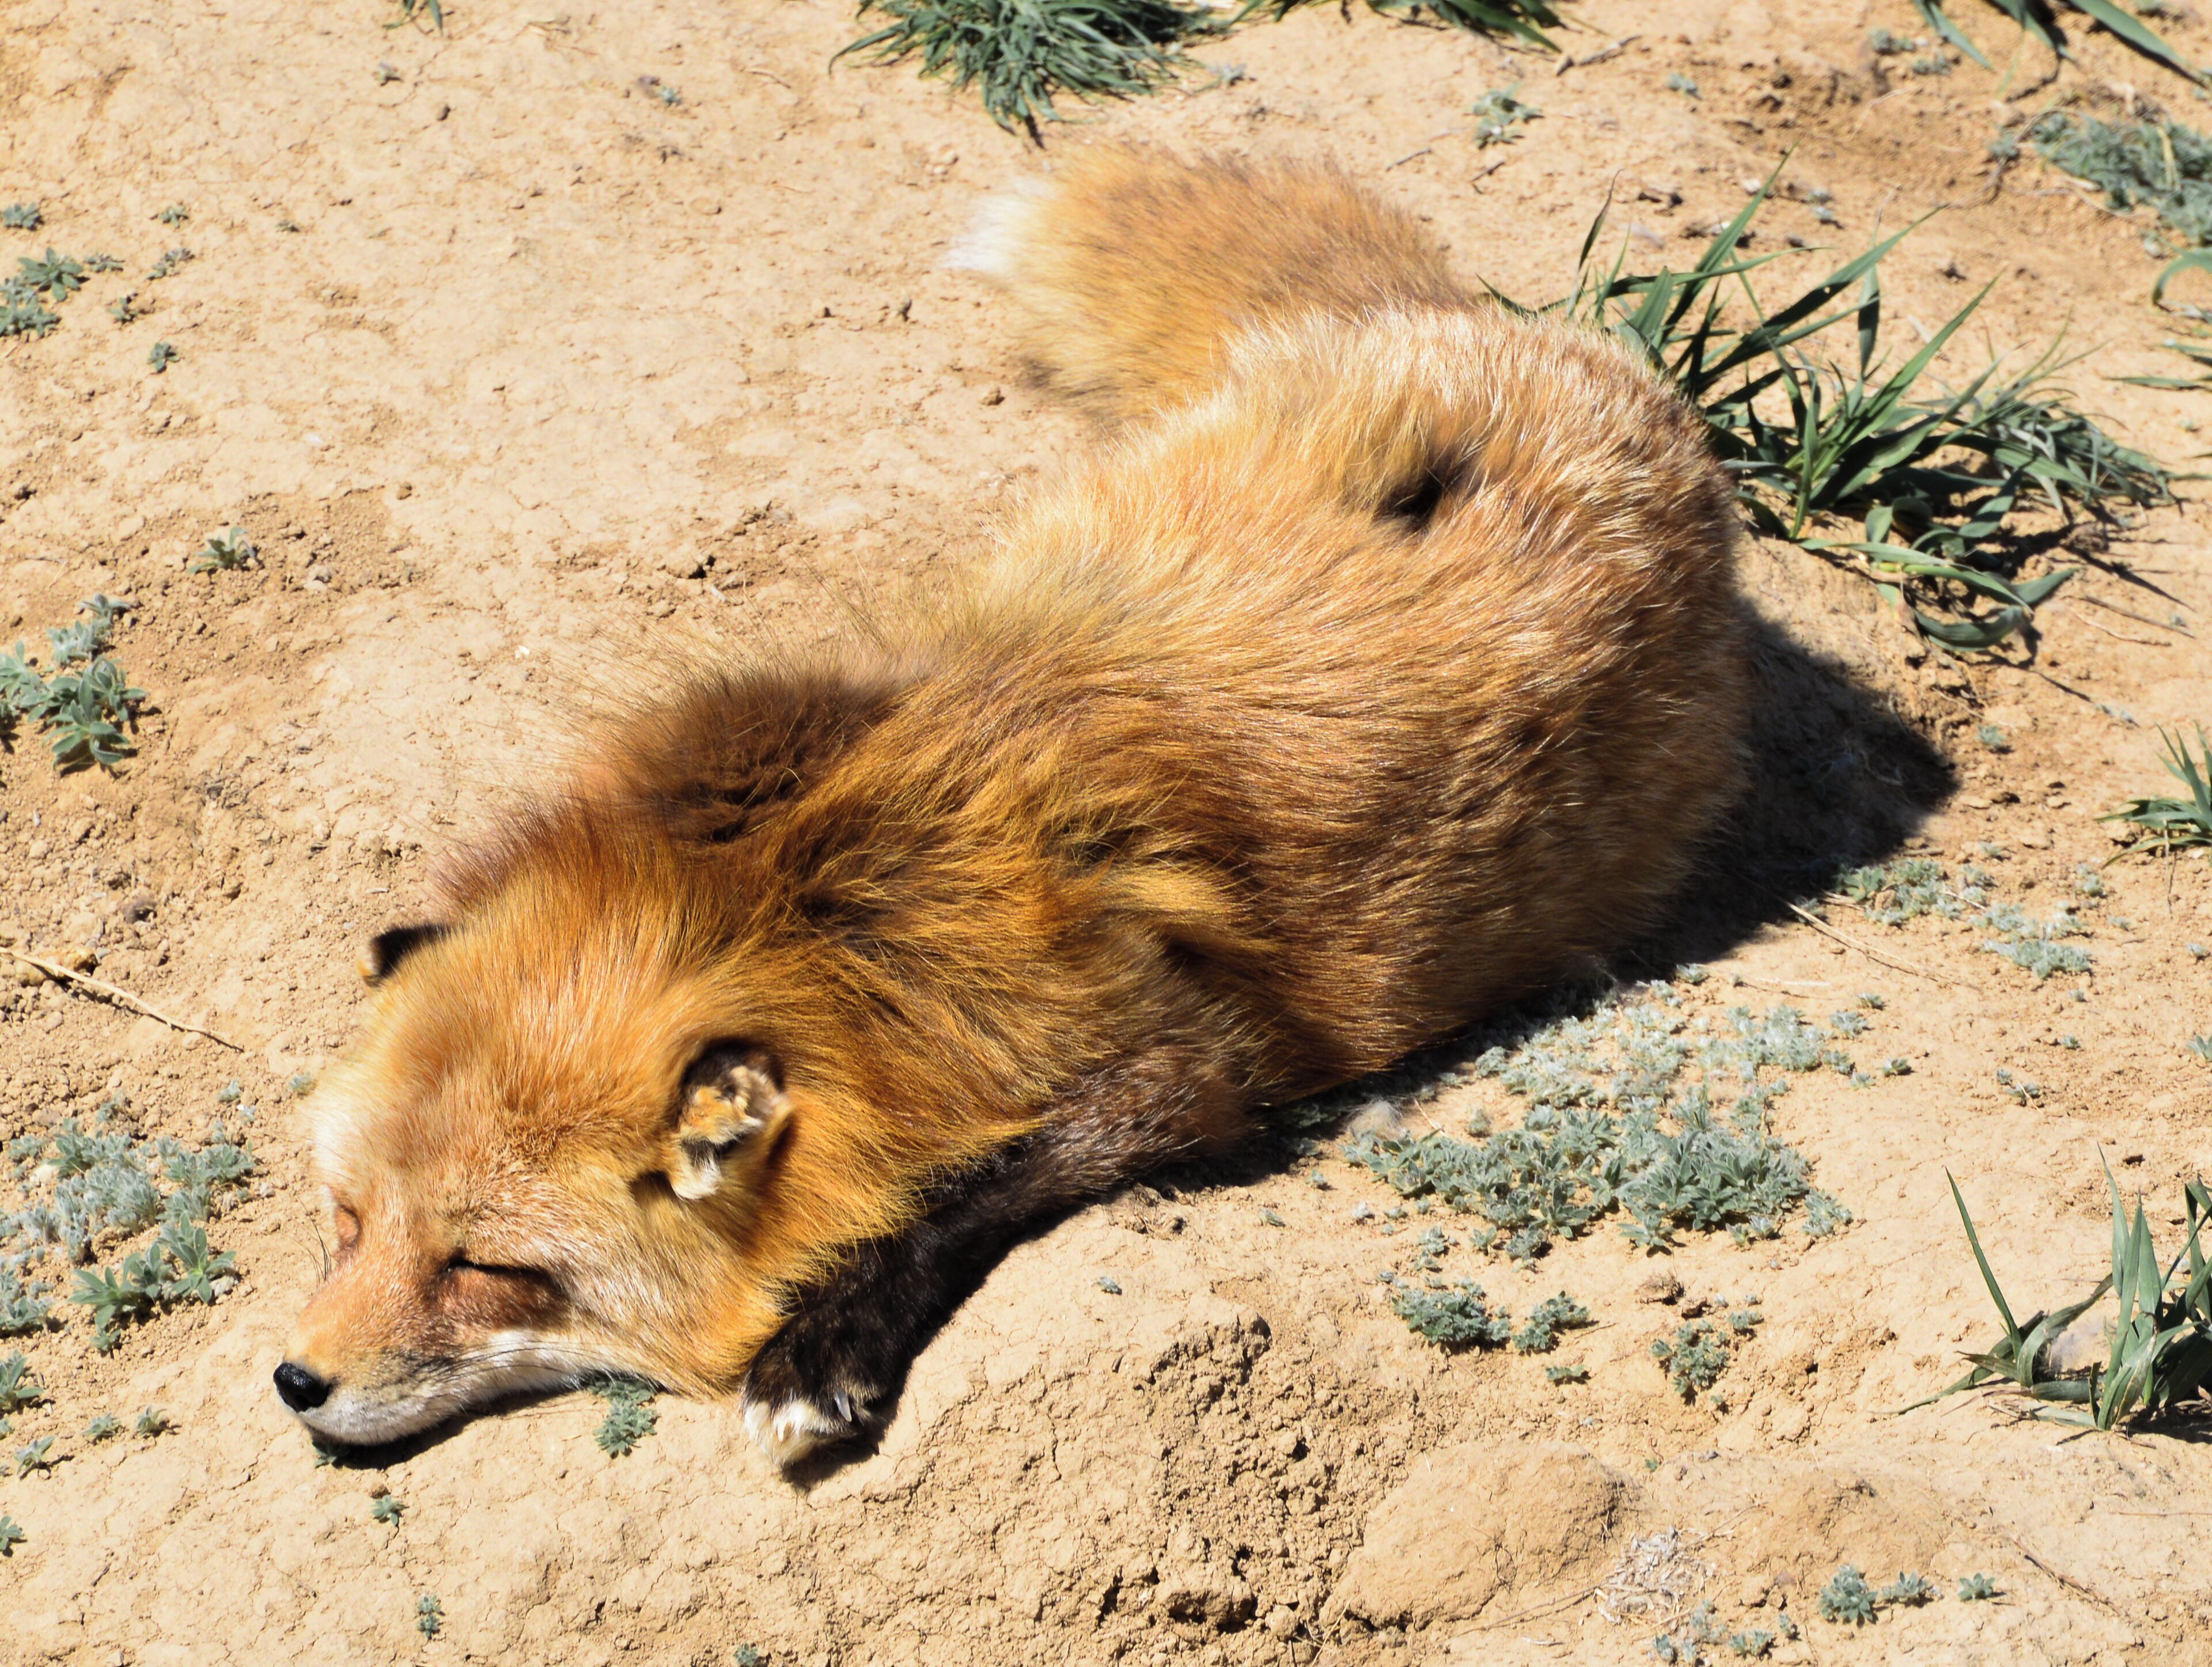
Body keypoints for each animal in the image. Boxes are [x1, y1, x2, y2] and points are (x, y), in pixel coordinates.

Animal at [277, 147, 1749, 1469]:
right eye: (346, 1218)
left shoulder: (1188, 1057)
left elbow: (978, 1179)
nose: (296, 1380)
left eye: (485, 1266)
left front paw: (825, 1342)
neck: (816, 913)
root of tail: (1533, 345)